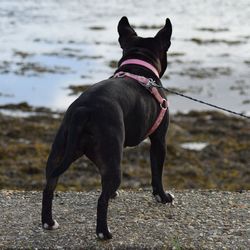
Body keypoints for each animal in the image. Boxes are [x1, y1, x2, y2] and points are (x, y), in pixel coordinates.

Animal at [42, 16, 173, 240]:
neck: (139, 67)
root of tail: (83, 110)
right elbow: (157, 174)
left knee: (49, 186)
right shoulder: (159, 140)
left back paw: (48, 222)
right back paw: (104, 233)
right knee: (101, 200)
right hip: (113, 161)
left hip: (60, 152)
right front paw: (163, 197)